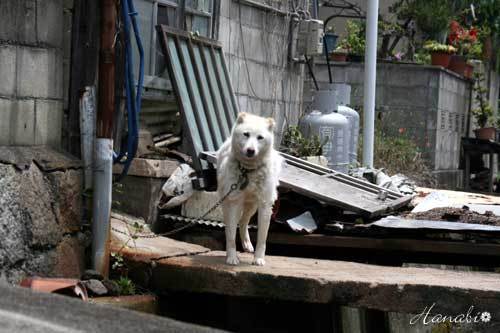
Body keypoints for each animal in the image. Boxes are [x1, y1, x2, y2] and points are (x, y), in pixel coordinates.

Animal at [217, 111, 284, 264]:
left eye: (260, 137)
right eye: (246, 134)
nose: (250, 150)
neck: (248, 171)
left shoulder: (265, 205)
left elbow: (262, 239)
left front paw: (258, 259)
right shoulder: (234, 201)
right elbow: (231, 236)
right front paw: (232, 257)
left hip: (252, 206)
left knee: (243, 222)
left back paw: (247, 244)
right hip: (227, 203)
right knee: (231, 226)